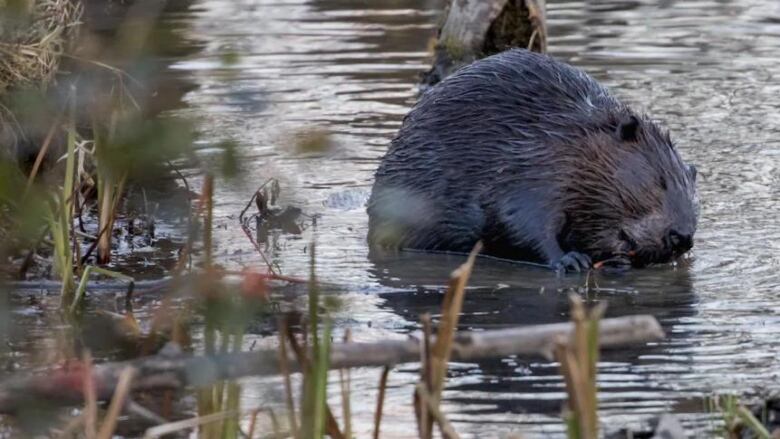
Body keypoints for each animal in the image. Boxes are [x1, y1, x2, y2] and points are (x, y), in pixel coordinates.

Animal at [368, 49, 696, 274]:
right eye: (660, 181)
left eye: (694, 195)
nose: (682, 237)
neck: (565, 139)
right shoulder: (530, 169)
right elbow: (516, 219)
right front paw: (570, 260)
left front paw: (618, 261)